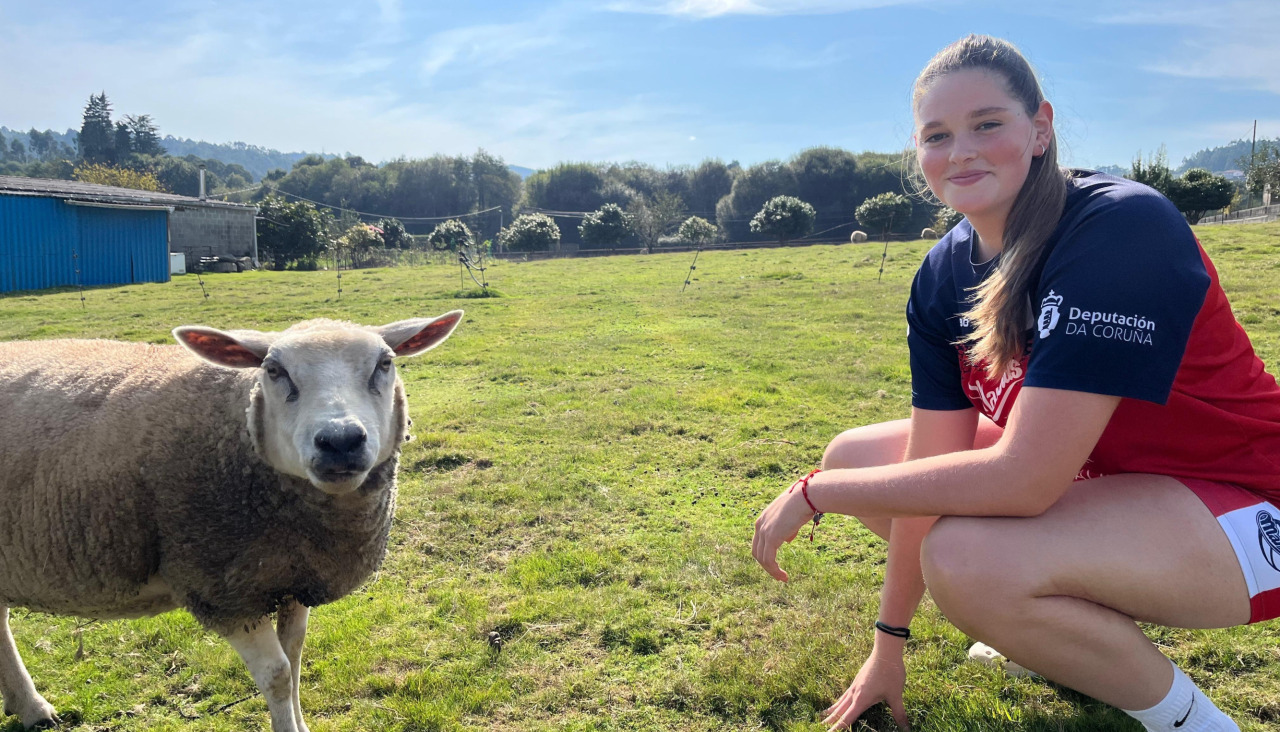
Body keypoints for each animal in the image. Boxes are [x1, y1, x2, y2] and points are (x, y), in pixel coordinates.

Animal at [0, 311, 463, 732]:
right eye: (274, 370)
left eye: (384, 363)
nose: (340, 441)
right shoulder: (223, 591)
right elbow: (278, 676)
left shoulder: (293, 577)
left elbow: (295, 658)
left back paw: (30, 708)